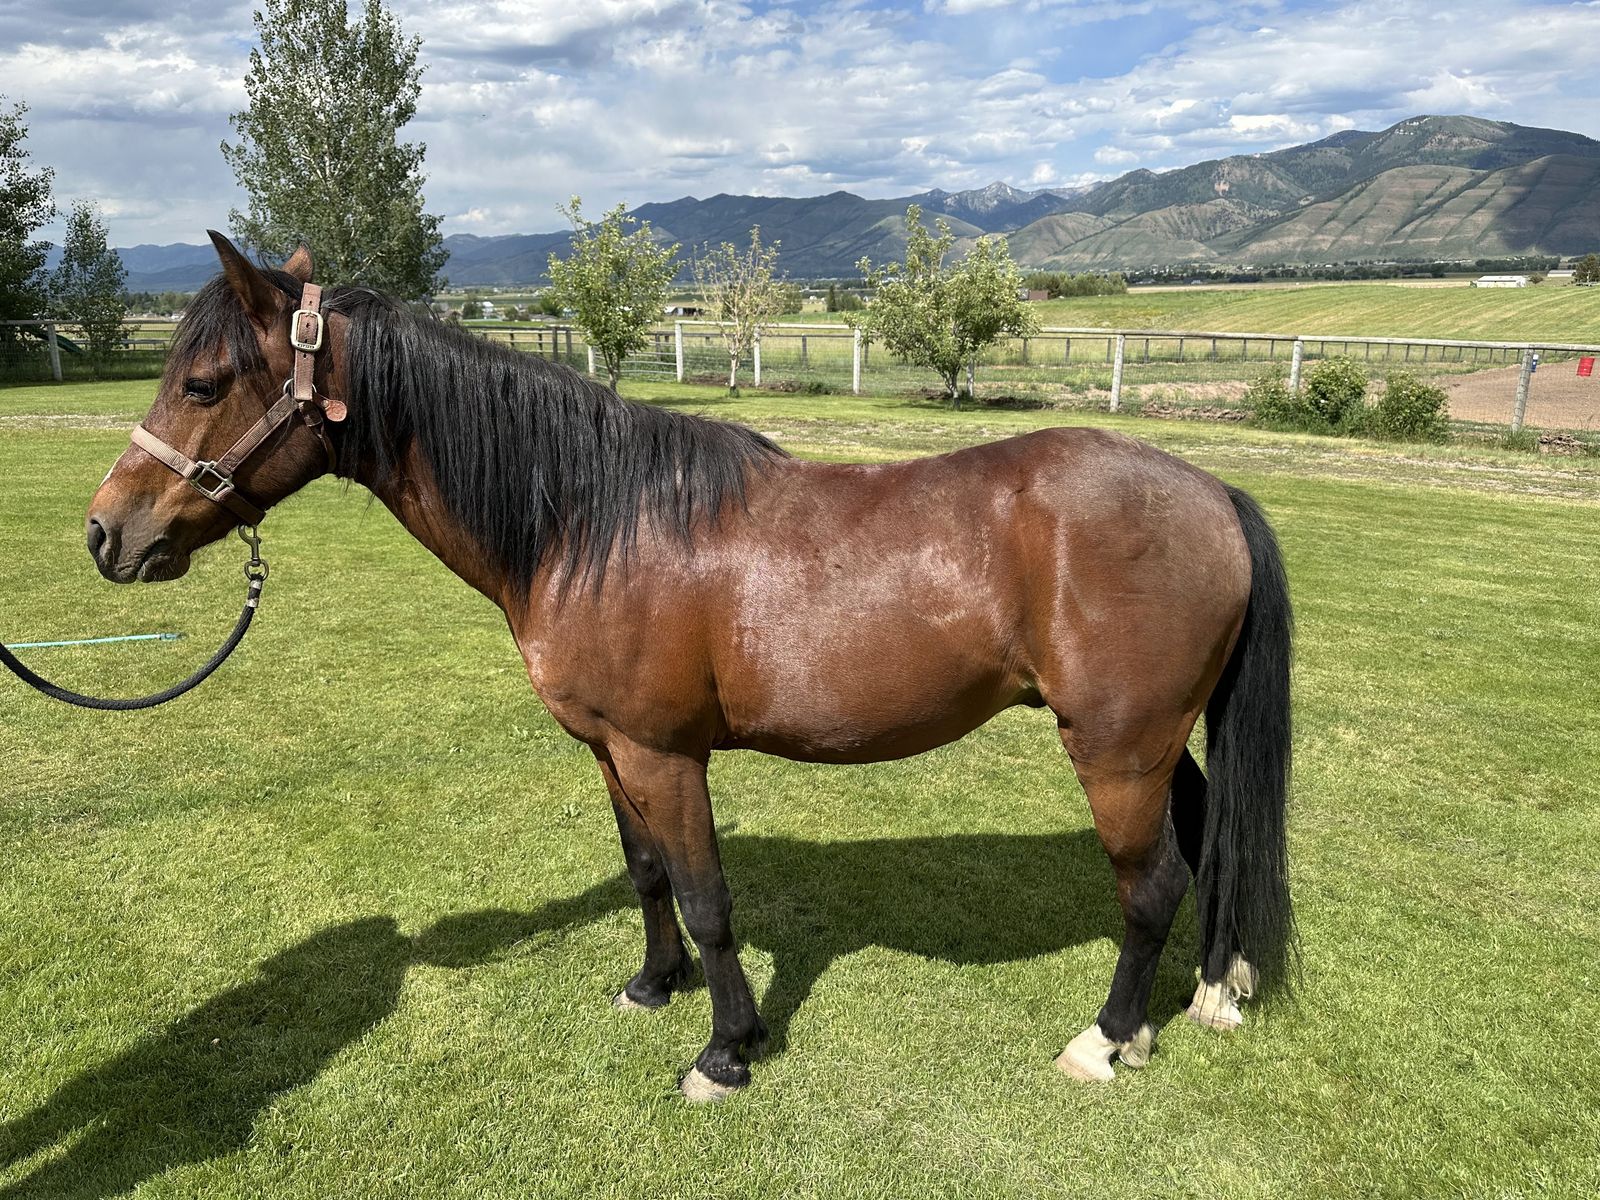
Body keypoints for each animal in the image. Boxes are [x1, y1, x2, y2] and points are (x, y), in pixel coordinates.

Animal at [84, 234, 1294, 1101]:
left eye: (203, 383)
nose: (105, 535)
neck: (589, 522)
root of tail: (1211, 493)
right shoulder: (610, 751)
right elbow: (648, 875)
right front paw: (650, 987)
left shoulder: (666, 754)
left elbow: (710, 898)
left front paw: (726, 1050)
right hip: (1157, 740)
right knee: (1209, 837)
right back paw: (1217, 990)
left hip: (1115, 749)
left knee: (1153, 884)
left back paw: (1108, 1040)